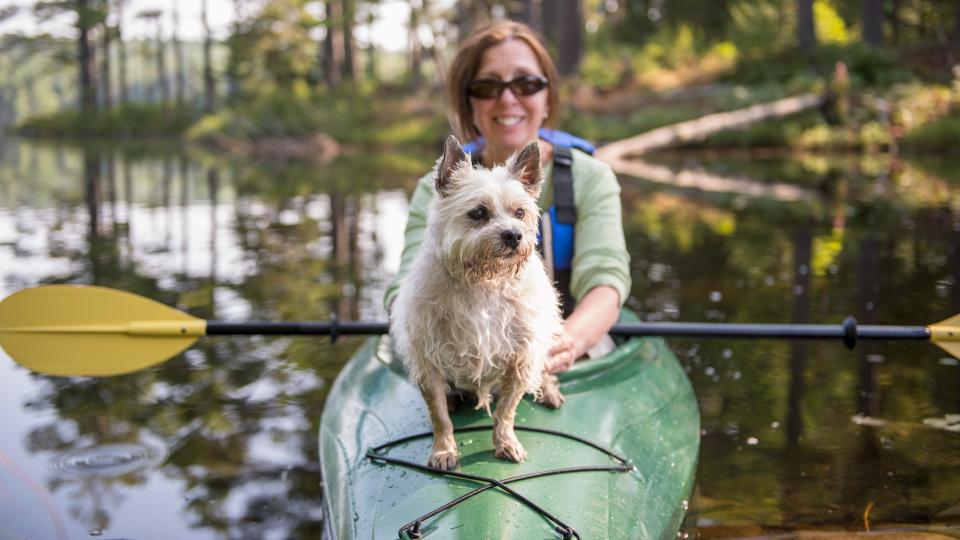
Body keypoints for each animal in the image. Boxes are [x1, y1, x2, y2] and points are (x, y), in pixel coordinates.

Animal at [390, 137, 568, 470]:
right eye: (478, 212)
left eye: (520, 212)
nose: (513, 235)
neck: (485, 280)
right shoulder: (428, 361)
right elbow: (439, 416)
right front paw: (444, 450)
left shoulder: (521, 358)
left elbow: (506, 411)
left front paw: (506, 442)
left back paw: (549, 391)